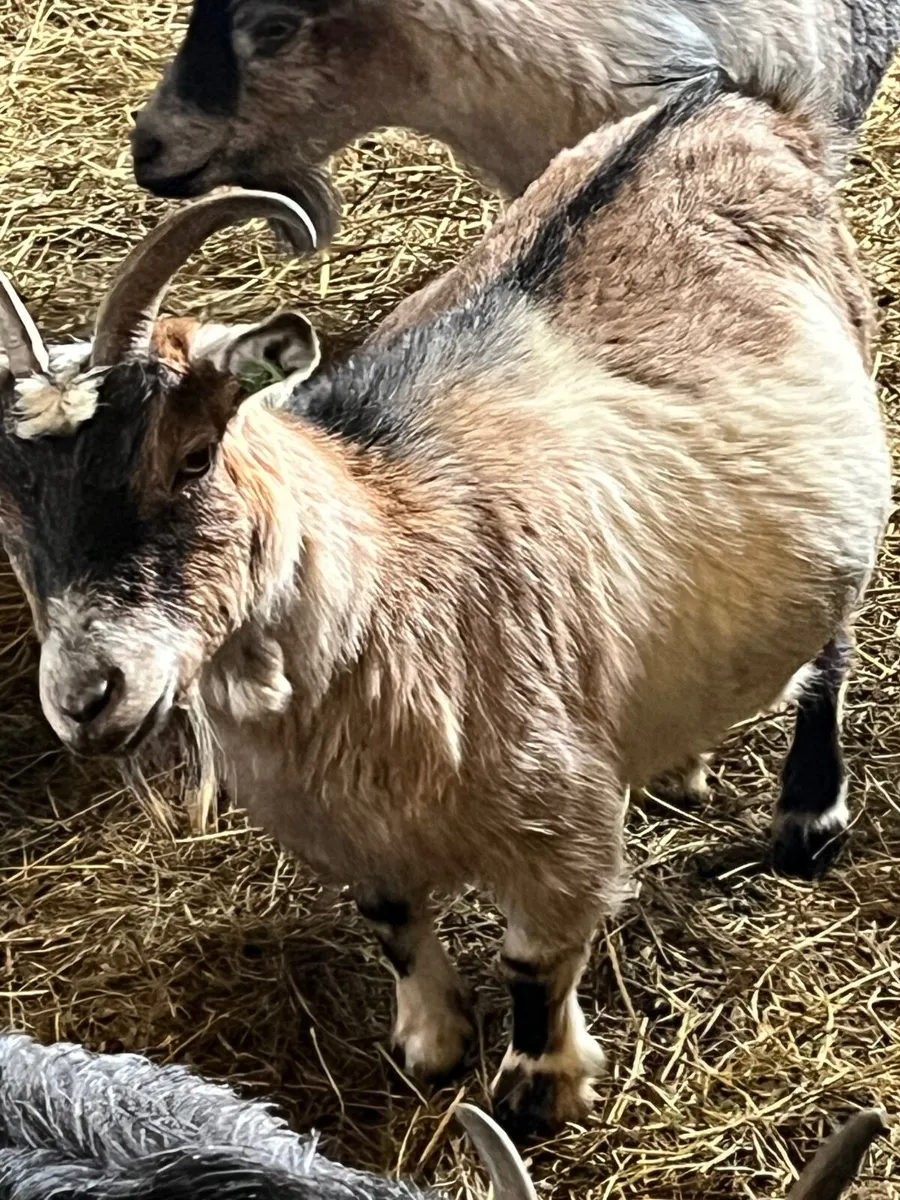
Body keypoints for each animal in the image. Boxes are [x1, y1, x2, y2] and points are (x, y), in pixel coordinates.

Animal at [0, 70, 891, 1138]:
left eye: (194, 455)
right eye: (7, 504)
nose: (87, 698)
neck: (385, 575)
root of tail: (724, 104)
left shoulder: (560, 821)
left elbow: (536, 960)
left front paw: (538, 1086)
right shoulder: (346, 828)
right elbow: (392, 923)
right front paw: (432, 1040)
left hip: (848, 497)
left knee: (829, 655)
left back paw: (809, 816)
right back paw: (680, 762)